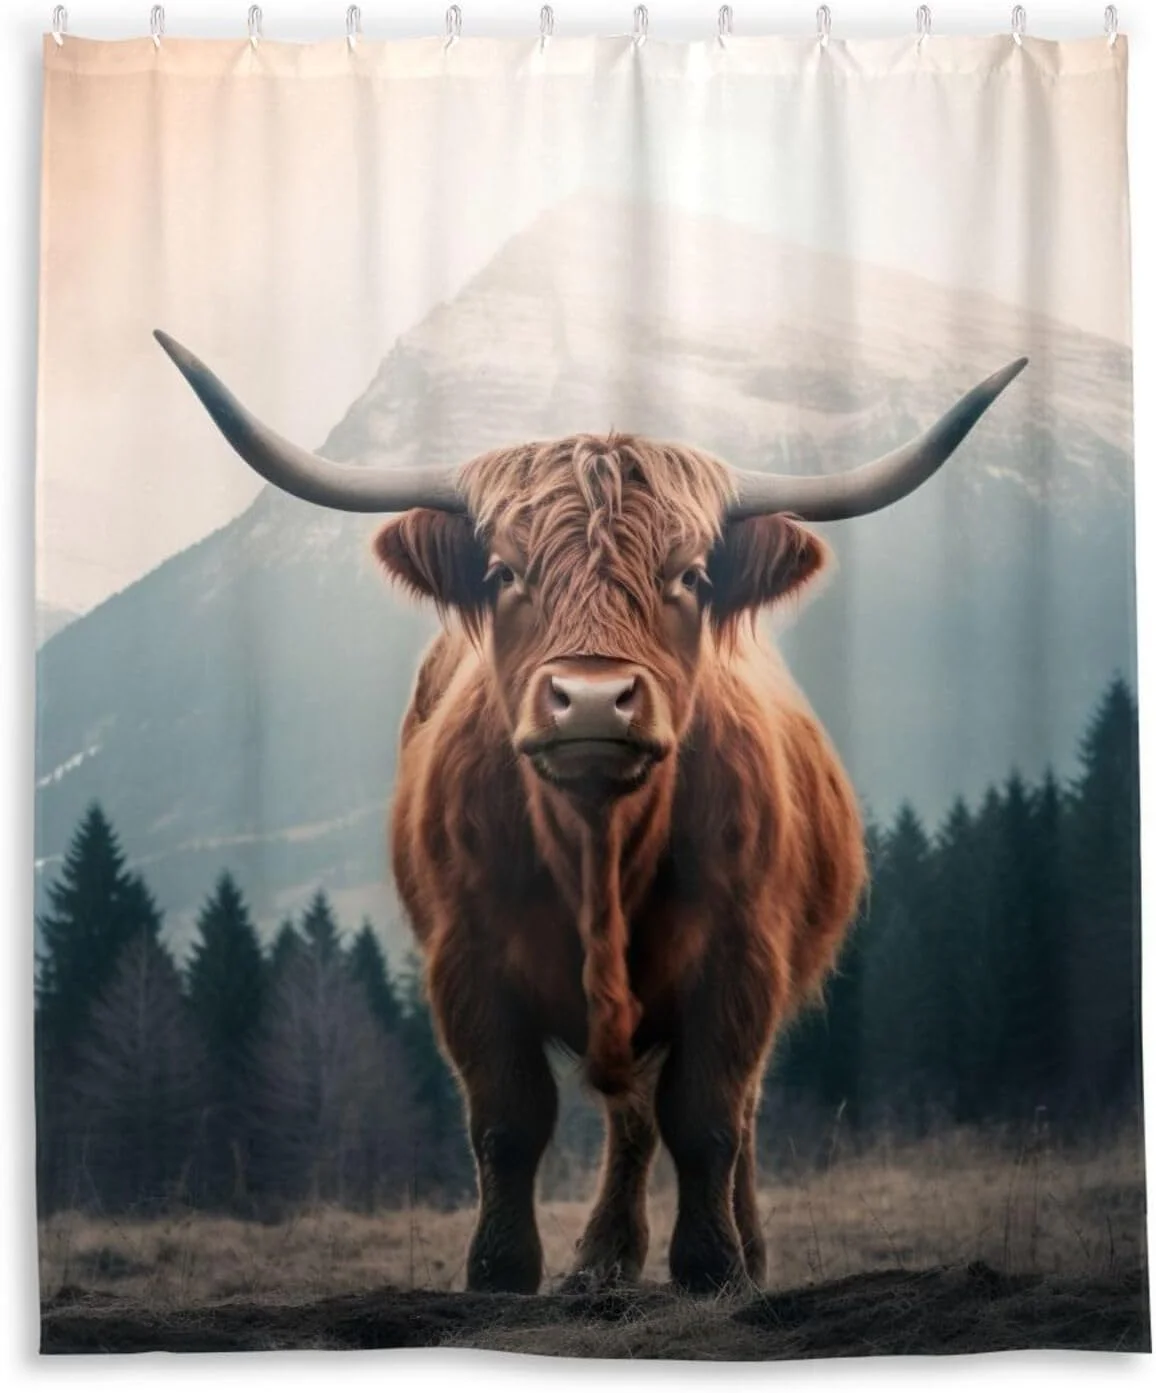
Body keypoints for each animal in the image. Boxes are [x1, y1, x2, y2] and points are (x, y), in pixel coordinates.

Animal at [154, 329, 1026, 1294]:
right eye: (504, 571)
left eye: (690, 575)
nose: (596, 700)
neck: (599, 846)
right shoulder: (463, 962)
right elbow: (509, 1119)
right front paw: (502, 1269)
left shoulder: (743, 959)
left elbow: (708, 1116)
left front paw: (715, 1265)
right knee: (631, 1113)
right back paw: (603, 1258)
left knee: (721, 1115)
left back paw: (734, 1250)